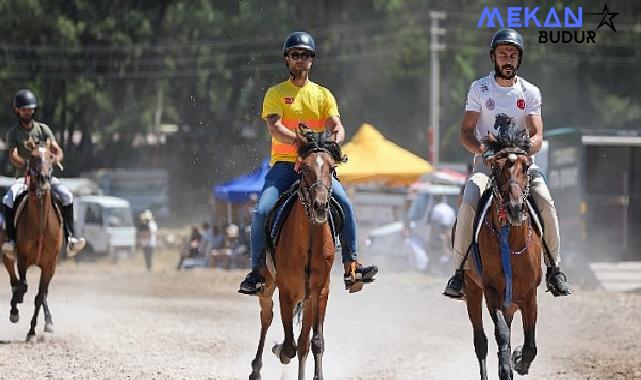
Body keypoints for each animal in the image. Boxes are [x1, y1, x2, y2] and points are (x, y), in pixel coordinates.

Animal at [2, 138, 63, 340]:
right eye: (33, 156)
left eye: (51, 156)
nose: (43, 179)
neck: (41, 226)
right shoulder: (22, 258)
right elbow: (23, 285)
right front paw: (16, 308)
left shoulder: (49, 265)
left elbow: (39, 296)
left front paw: (32, 331)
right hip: (7, 255)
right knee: (15, 281)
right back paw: (15, 306)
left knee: (42, 293)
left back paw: (48, 321)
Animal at [249, 127, 340, 380]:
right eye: (305, 168)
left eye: (332, 168)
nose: (320, 206)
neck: (308, 242)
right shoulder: (286, 292)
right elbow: (289, 345)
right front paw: (279, 349)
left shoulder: (319, 292)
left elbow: (312, 342)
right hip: (267, 286)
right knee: (266, 318)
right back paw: (256, 369)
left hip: (306, 298)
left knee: (303, 342)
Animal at [462, 129, 544, 378]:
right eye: (496, 169)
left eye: (525, 167)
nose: (515, 208)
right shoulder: (491, 291)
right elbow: (501, 334)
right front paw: (507, 366)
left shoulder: (530, 293)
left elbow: (530, 344)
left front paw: (519, 360)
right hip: (472, 288)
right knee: (481, 341)